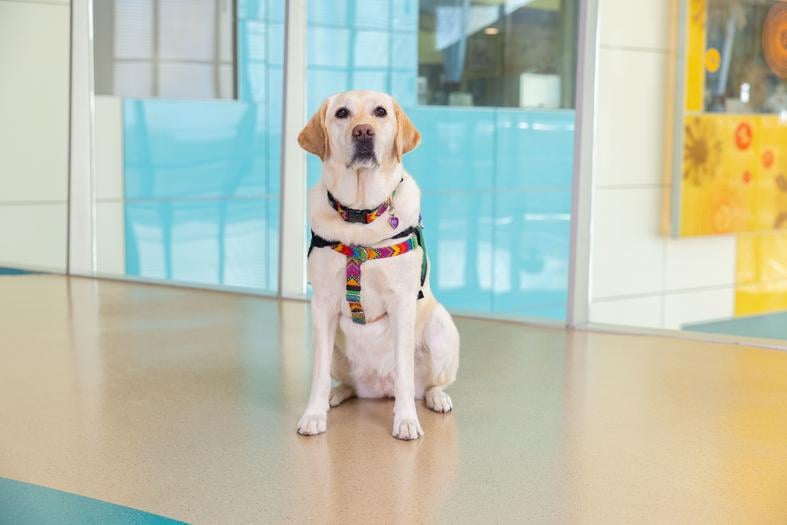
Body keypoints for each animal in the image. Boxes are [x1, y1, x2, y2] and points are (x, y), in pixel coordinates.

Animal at [298, 89, 458, 438]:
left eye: (380, 112)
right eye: (342, 113)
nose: (363, 132)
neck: (360, 215)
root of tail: (378, 388)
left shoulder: (401, 302)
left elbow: (404, 370)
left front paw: (406, 420)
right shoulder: (323, 304)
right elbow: (317, 375)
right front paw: (314, 414)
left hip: (441, 329)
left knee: (426, 384)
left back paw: (436, 398)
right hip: (335, 349)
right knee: (344, 382)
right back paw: (336, 394)